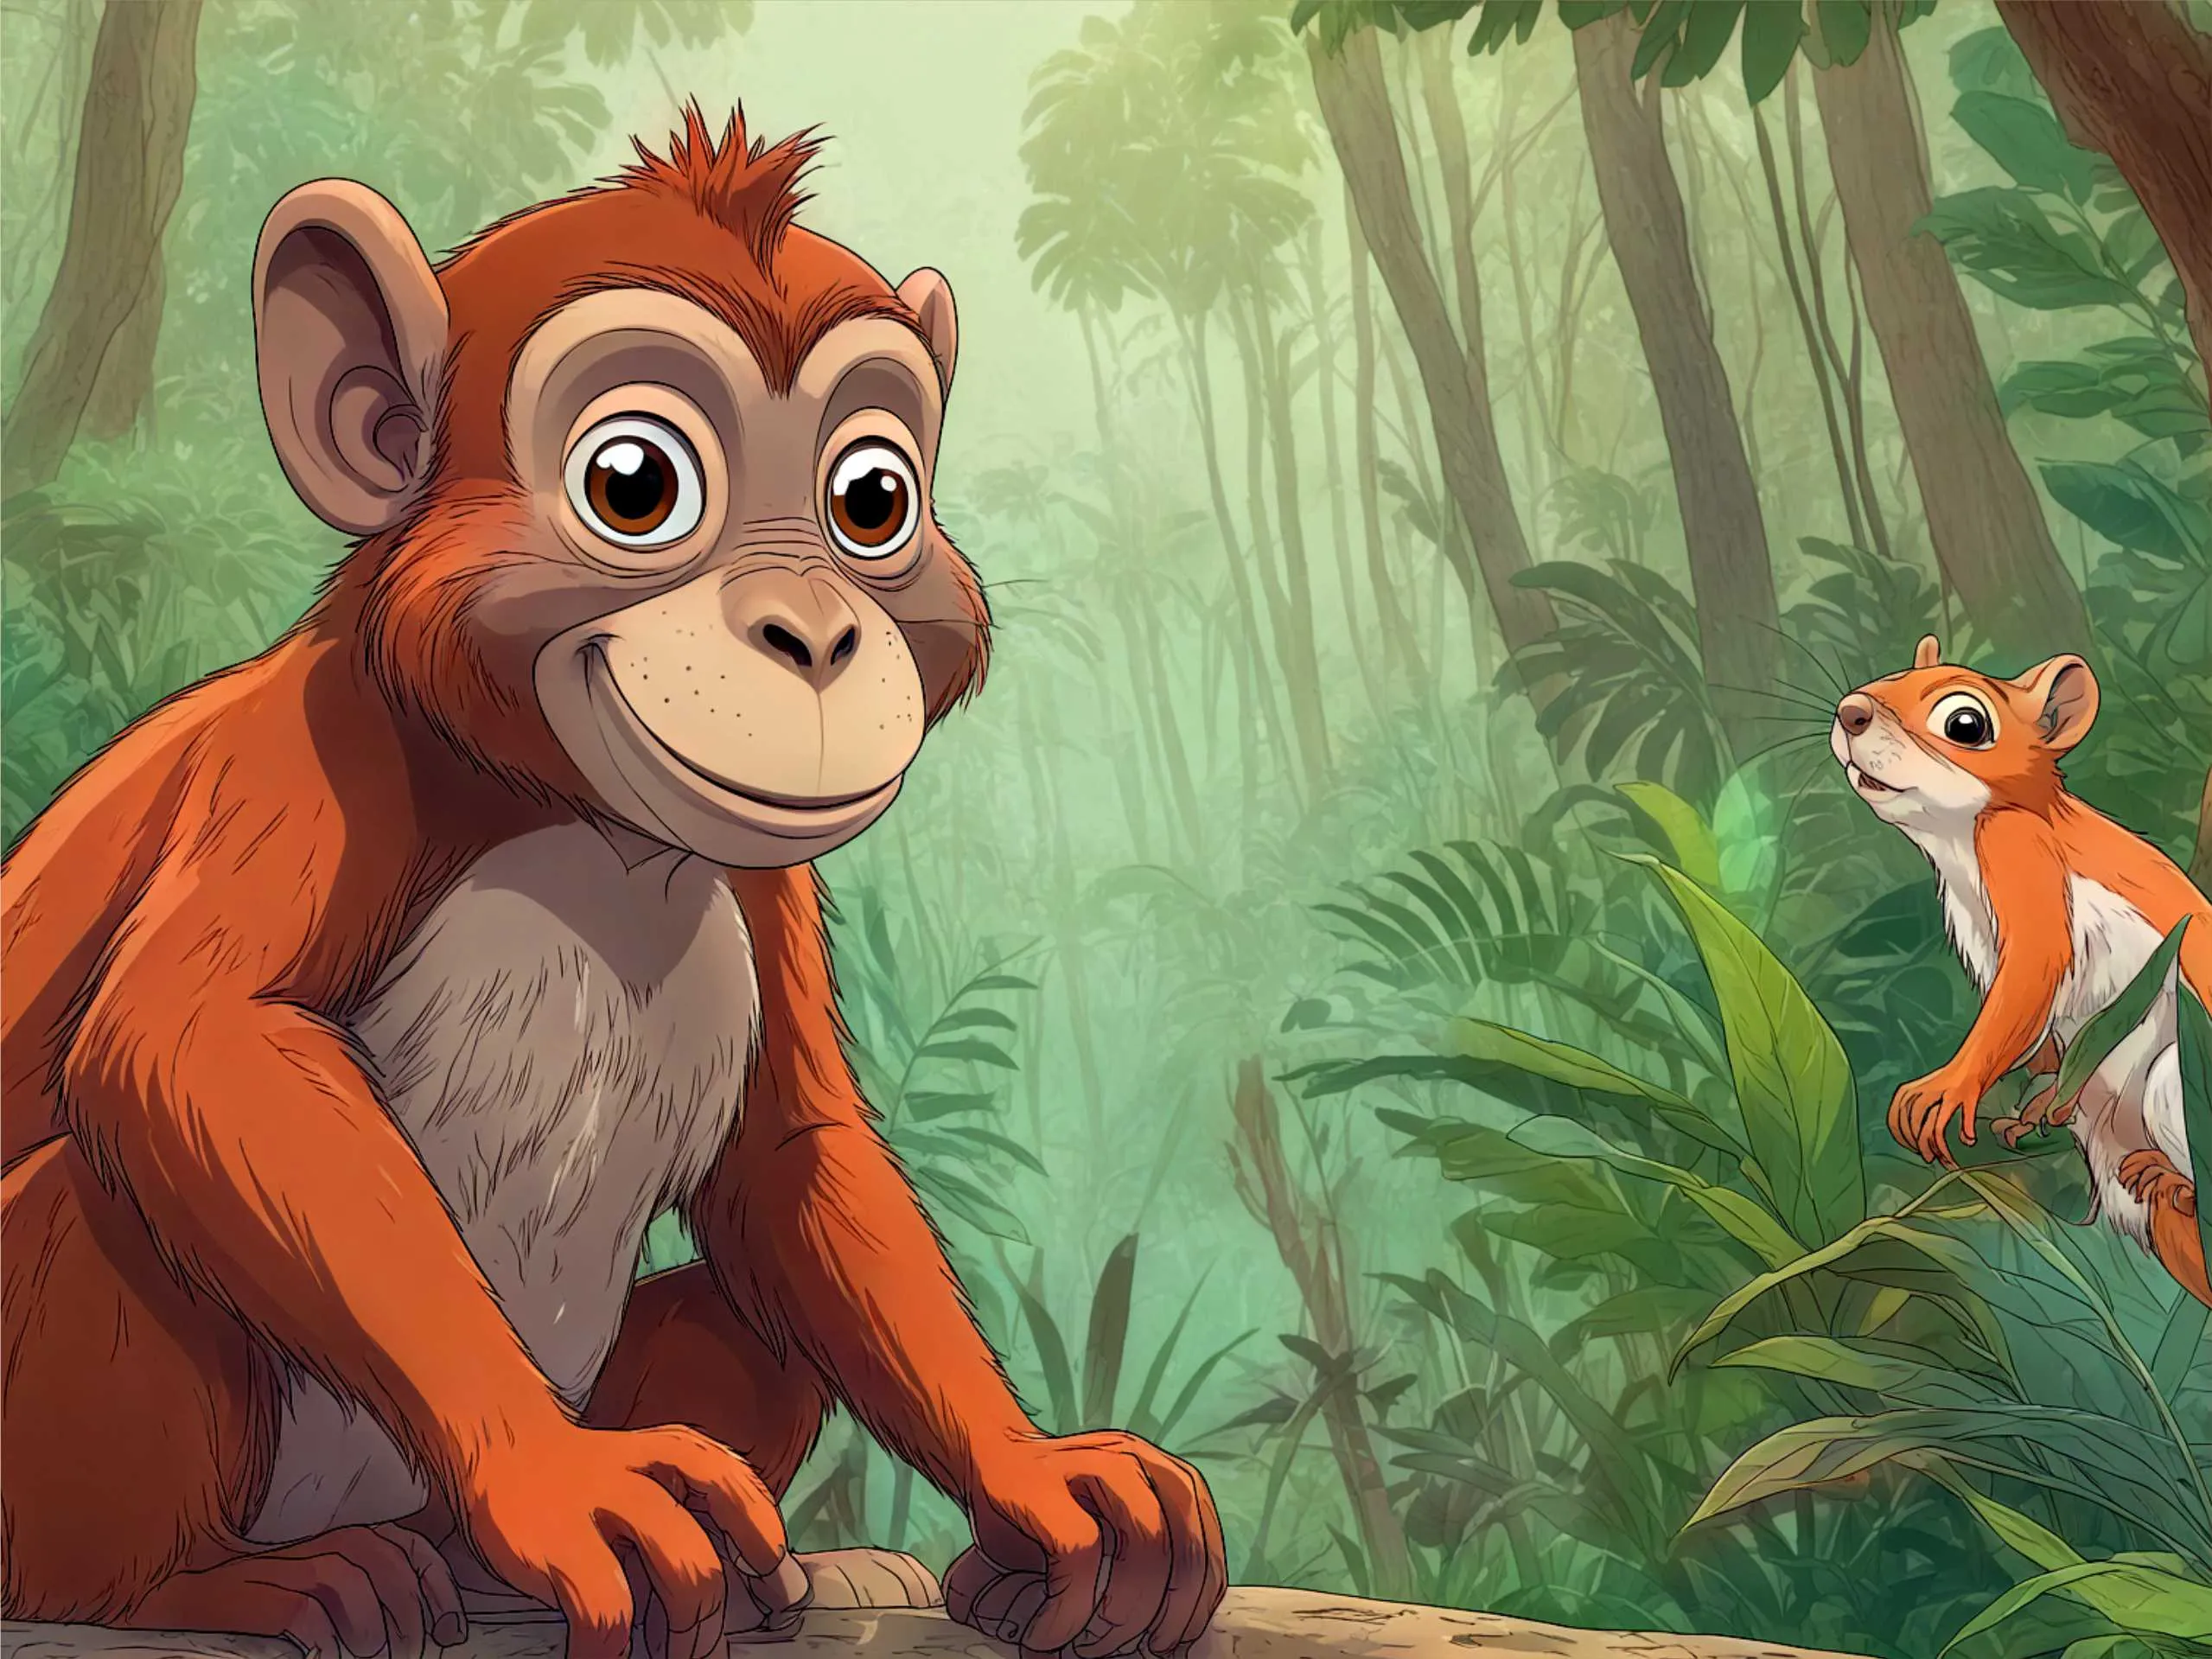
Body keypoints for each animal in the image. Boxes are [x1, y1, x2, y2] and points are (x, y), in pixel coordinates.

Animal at [0, 105, 1227, 1659]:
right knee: (92, 1197)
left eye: (871, 501)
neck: (579, 814)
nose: (813, 634)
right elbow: (194, 1043)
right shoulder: (310, 757)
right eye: (634, 486)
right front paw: (550, 1472)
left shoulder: (762, 879)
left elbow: (793, 1156)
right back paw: (203, 1583)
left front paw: (1029, 1477)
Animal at [1831, 634, 2211, 1308]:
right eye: (1893, 674)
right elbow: (2036, 1036)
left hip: (2174, 1081)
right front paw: (2032, 1101)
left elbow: (2027, 983)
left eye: (1965, 724)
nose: (1851, 711)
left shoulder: (2022, 857)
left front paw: (1945, 1088)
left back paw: (2176, 1180)